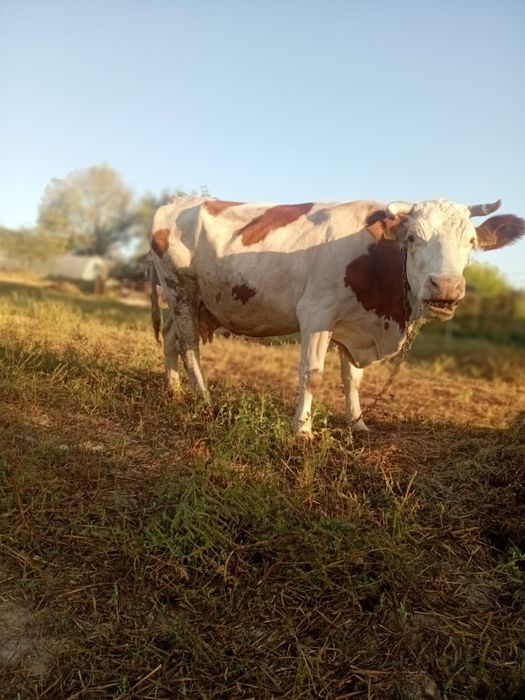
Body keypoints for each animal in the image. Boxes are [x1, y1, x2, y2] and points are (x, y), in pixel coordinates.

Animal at [149, 196, 524, 437]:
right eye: (413, 237)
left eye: (471, 241)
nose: (445, 285)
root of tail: (178, 202)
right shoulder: (317, 315)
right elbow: (312, 375)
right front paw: (302, 430)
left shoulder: (354, 325)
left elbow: (353, 380)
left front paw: (357, 423)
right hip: (180, 289)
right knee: (190, 346)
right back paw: (204, 398)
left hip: (194, 302)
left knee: (170, 337)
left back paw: (175, 389)